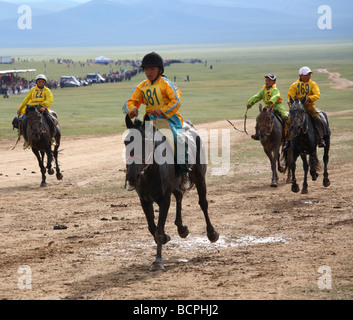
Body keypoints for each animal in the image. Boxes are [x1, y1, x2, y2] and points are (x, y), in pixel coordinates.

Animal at [123, 114, 217, 270]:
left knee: (203, 203)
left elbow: (159, 230)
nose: (131, 176)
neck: (150, 172)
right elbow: (152, 228)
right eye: (126, 142)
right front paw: (166, 238)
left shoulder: (164, 199)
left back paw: (211, 232)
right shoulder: (144, 200)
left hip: (199, 177)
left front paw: (157, 261)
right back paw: (181, 228)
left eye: (145, 142)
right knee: (179, 195)